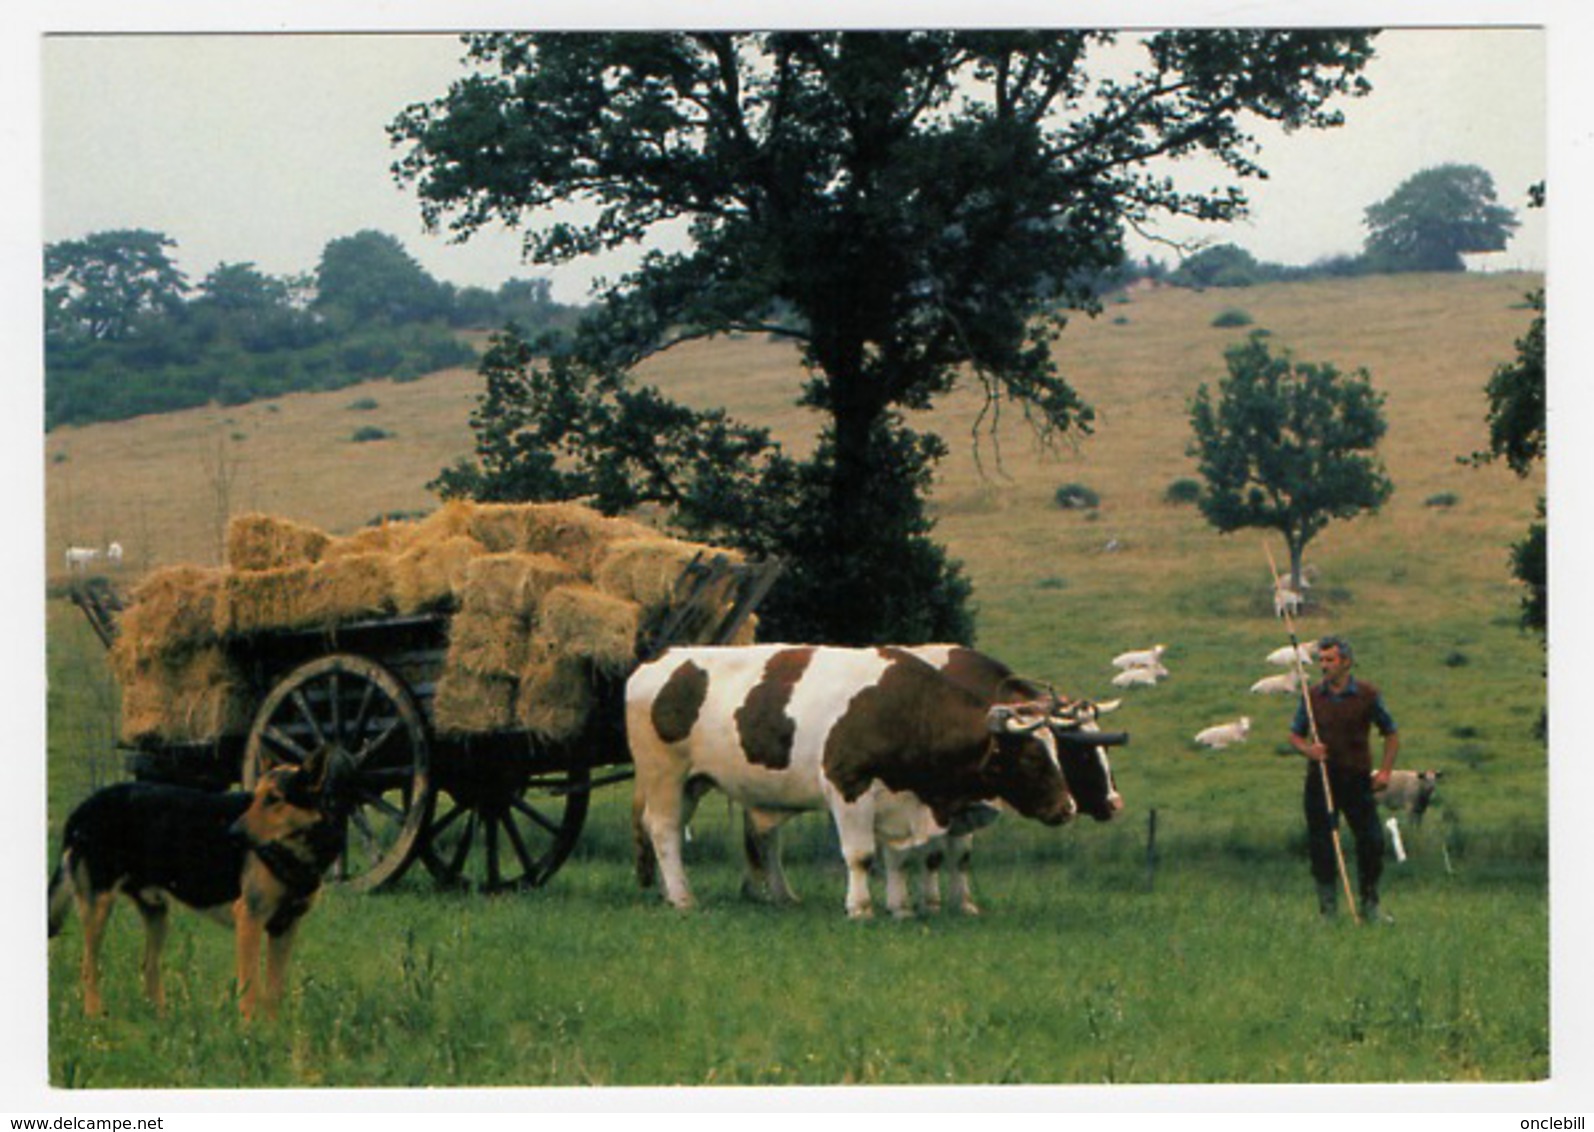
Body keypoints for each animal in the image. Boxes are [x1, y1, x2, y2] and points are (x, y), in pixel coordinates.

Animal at [47, 758, 342, 1026]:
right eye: (255, 798)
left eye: (273, 799)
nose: (233, 834)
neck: (298, 851)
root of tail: (83, 808)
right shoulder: (250, 919)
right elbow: (250, 989)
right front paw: (249, 1033)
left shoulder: (285, 927)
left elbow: (273, 993)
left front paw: (272, 1033)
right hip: (99, 907)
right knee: (89, 967)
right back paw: (94, 1017)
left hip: (156, 913)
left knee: (149, 967)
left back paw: (161, 1022)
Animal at [628, 647, 1128, 924]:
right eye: (1032, 755)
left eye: (1059, 748)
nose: (1067, 808)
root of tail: (658, 661)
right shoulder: (849, 785)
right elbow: (863, 855)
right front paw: (863, 907)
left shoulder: (908, 799)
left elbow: (906, 857)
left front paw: (905, 906)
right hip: (664, 774)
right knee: (665, 831)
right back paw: (682, 897)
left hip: (696, 782)